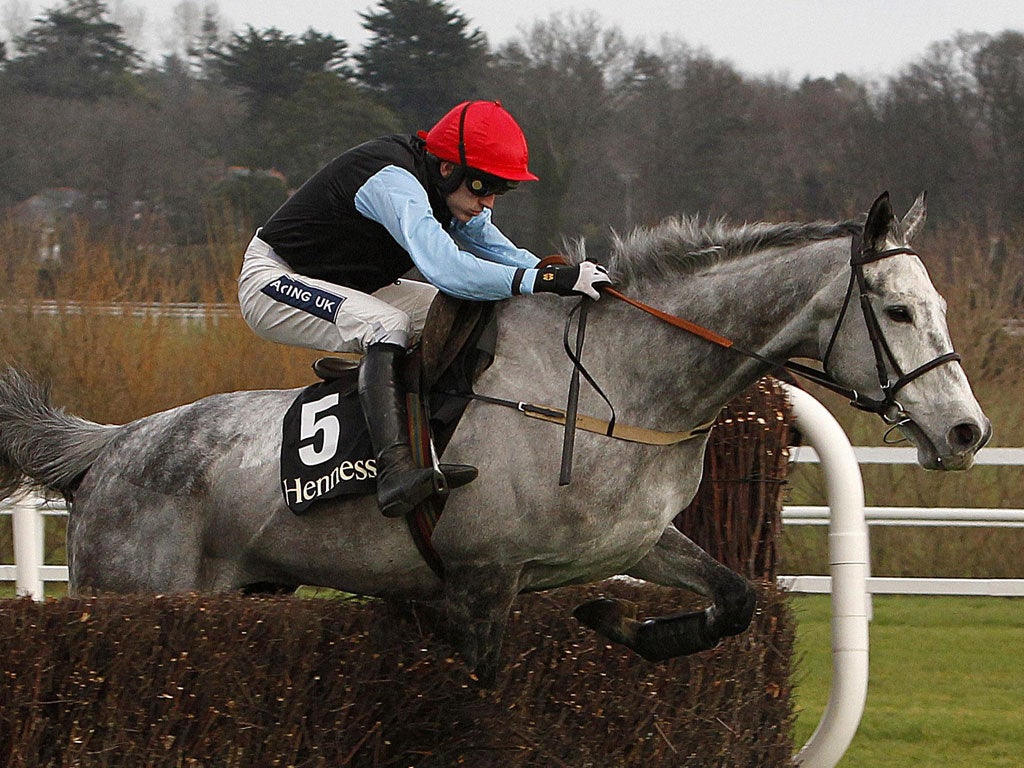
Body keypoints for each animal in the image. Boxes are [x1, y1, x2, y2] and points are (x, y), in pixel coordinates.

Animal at [0, 192, 991, 679]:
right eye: (898, 310)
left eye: (937, 304)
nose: (968, 430)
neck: (625, 386)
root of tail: (108, 448)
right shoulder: (484, 579)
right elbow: (483, 679)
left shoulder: (634, 541)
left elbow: (736, 600)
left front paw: (615, 624)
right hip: (134, 592)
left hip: (242, 592)